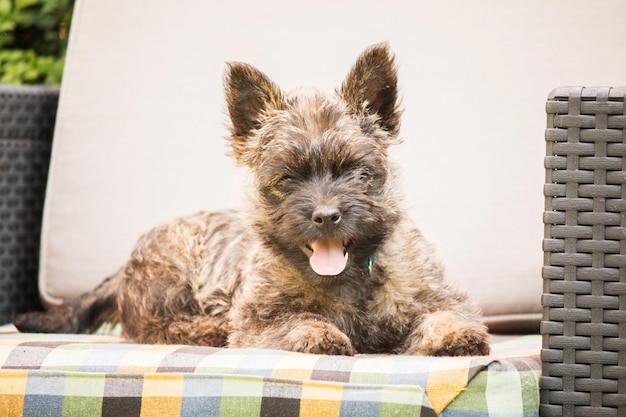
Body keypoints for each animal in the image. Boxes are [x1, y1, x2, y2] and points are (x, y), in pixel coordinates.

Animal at [14, 44, 488, 354]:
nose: (326, 216)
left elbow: (447, 313)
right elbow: (295, 320)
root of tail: (122, 270)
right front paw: (319, 334)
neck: (348, 279)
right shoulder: (258, 319)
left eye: (357, 172)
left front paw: (454, 336)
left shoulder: (437, 295)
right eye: (286, 178)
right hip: (170, 271)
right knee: (156, 326)